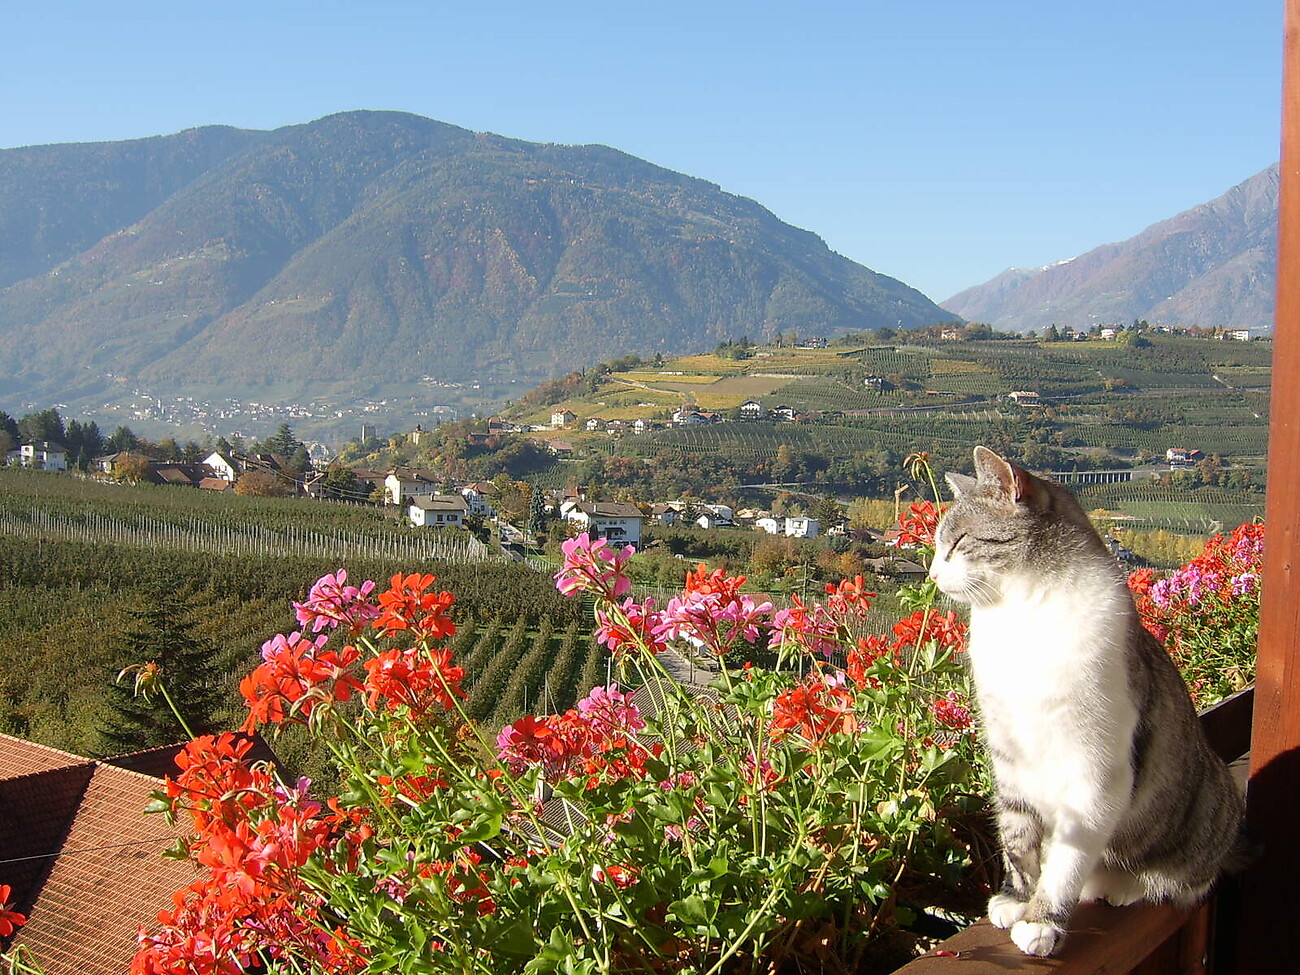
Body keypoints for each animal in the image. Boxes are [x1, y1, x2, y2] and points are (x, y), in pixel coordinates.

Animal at [928, 446, 1245, 957]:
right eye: (938, 545)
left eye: (957, 542)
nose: (934, 573)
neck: (1022, 614)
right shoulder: (1008, 755)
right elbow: (1017, 835)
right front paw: (1017, 898)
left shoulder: (1094, 771)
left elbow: (1066, 859)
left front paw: (1042, 920)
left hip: (1206, 808)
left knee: (1193, 877)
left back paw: (1127, 886)